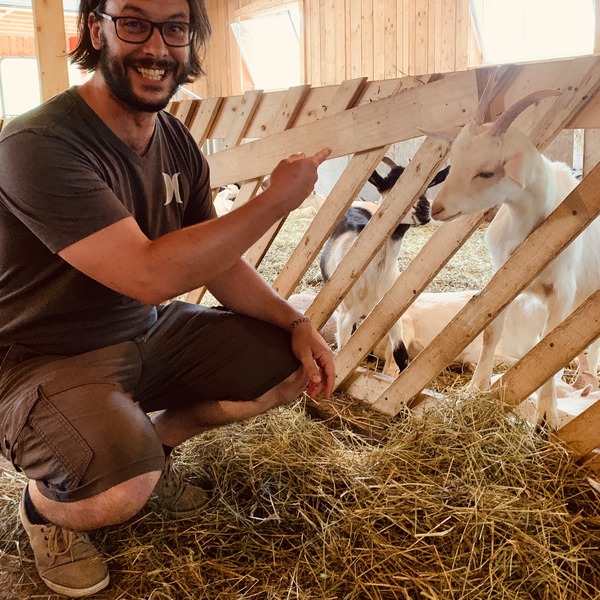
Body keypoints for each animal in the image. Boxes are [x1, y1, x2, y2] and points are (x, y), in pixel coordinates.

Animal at [318, 157, 446, 378]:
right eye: (393, 185)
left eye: (428, 185)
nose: (424, 210)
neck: (374, 276)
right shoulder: (345, 316)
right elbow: (342, 353)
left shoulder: (389, 314)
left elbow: (401, 355)